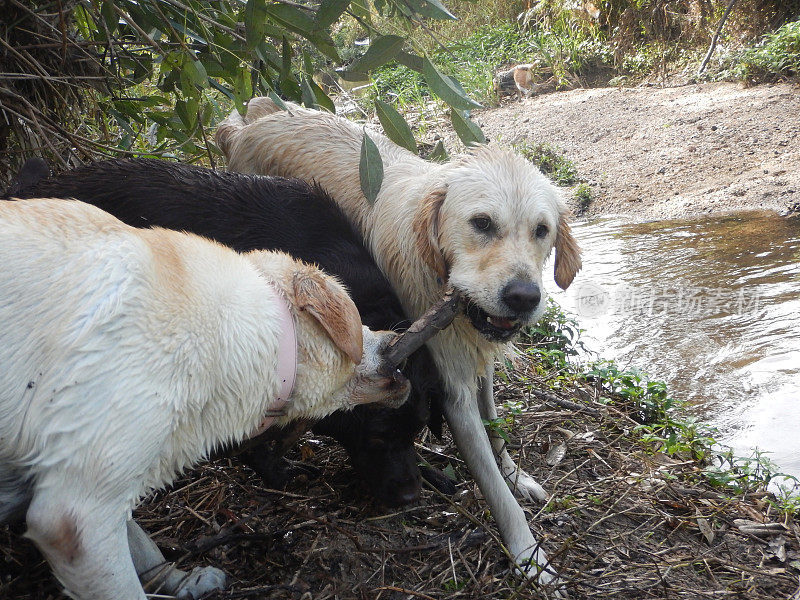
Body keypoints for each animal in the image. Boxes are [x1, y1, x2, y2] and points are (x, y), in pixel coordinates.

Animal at [0, 199, 410, 600]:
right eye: (358, 320)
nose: (394, 337)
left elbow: (141, 546)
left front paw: (180, 581)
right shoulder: (74, 514)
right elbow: (123, 582)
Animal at [214, 99, 580, 592]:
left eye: (542, 230)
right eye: (482, 223)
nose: (523, 297)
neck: (438, 272)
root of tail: (251, 122)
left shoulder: (476, 356)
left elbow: (495, 423)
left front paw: (516, 474)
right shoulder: (449, 389)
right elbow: (495, 490)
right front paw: (530, 557)